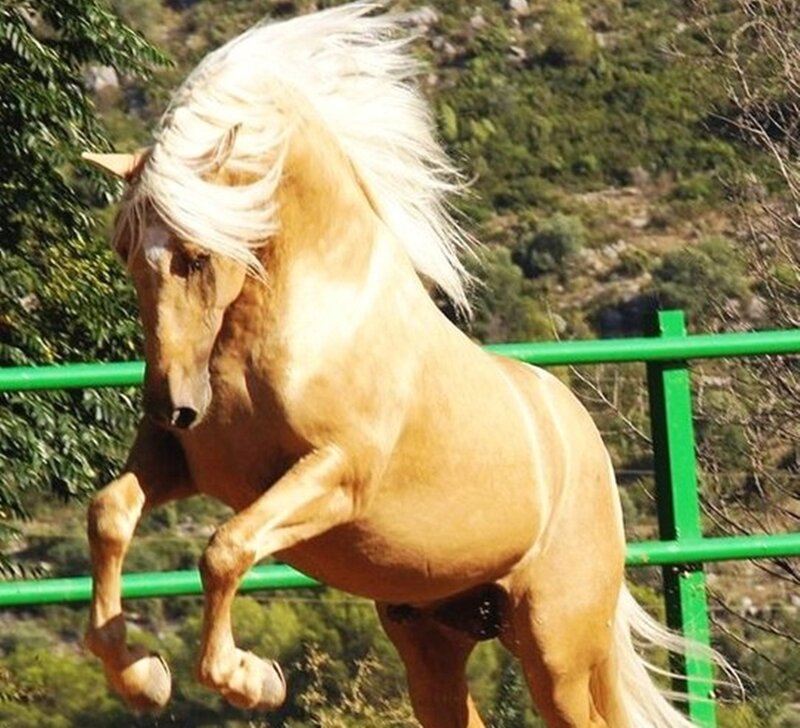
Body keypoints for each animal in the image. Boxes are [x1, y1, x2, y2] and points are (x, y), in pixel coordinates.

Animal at [81, 4, 710, 726]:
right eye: (126, 250)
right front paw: (142, 677)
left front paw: (252, 680)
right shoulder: (183, 464)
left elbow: (224, 550)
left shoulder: (336, 474)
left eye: (197, 255)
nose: (174, 406)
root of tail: (590, 453)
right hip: (435, 635)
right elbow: (109, 513)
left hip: (557, 647)